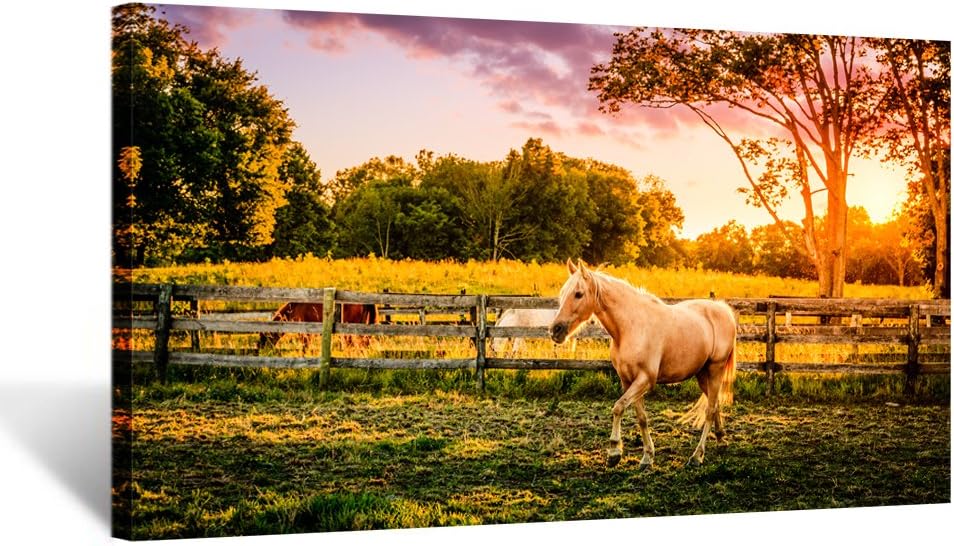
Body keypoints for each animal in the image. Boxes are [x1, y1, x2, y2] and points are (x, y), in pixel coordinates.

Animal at [549, 259, 736, 468]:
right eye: (562, 293)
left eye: (578, 294)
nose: (555, 330)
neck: (631, 327)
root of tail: (722, 309)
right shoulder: (628, 381)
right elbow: (641, 417)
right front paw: (647, 457)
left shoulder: (644, 380)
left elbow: (618, 407)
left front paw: (614, 452)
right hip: (703, 375)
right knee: (715, 403)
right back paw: (720, 439)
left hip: (715, 369)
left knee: (710, 410)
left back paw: (697, 456)